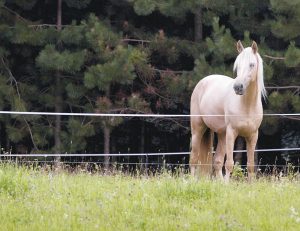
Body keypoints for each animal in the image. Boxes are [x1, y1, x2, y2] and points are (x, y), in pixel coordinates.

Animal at [191, 41, 266, 182]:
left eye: (252, 64)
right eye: (238, 65)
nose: (238, 87)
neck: (247, 106)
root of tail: (204, 81)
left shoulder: (253, 136)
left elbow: (250, 166)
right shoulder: (232, 133)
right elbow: (230, 164)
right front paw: (227, 185)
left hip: (222, 134)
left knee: (217, 161)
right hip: (198, 129)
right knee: (193, 159)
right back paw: (191, 181)